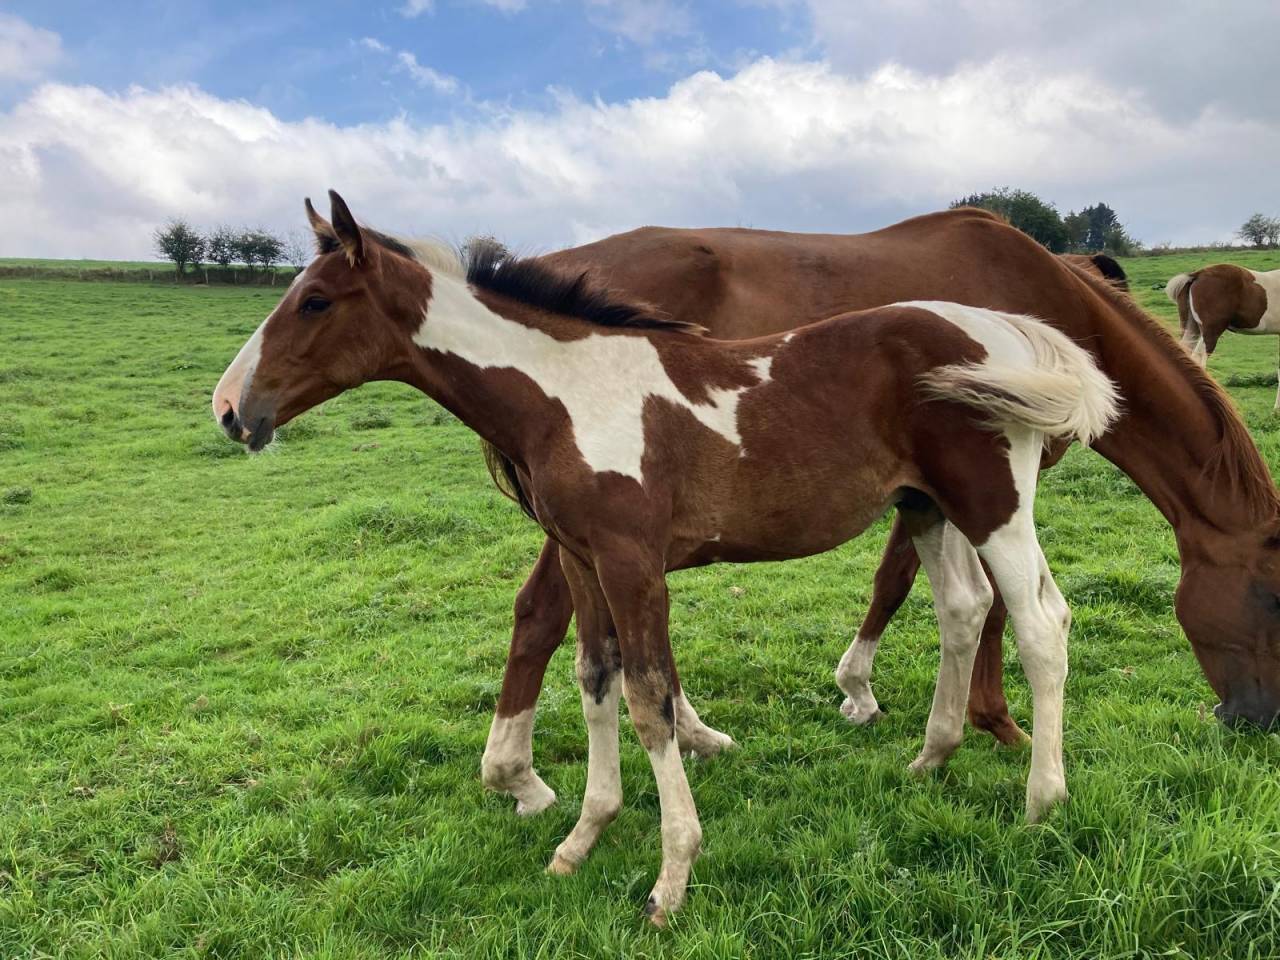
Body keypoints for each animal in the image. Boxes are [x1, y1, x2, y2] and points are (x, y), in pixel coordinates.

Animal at [213, 191, 1119, 923]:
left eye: (316, 301)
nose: (229, 409)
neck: (564, 393)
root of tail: (1004, 332)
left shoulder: (631, 562)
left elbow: (647, 699)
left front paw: (671, 878)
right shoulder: (582, 560)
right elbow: (594, 679)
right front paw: (582, 838)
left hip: (991, 505)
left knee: (1040, 625)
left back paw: (1043, 801)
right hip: (929, 508)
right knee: (971, 611)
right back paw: (930, 760)